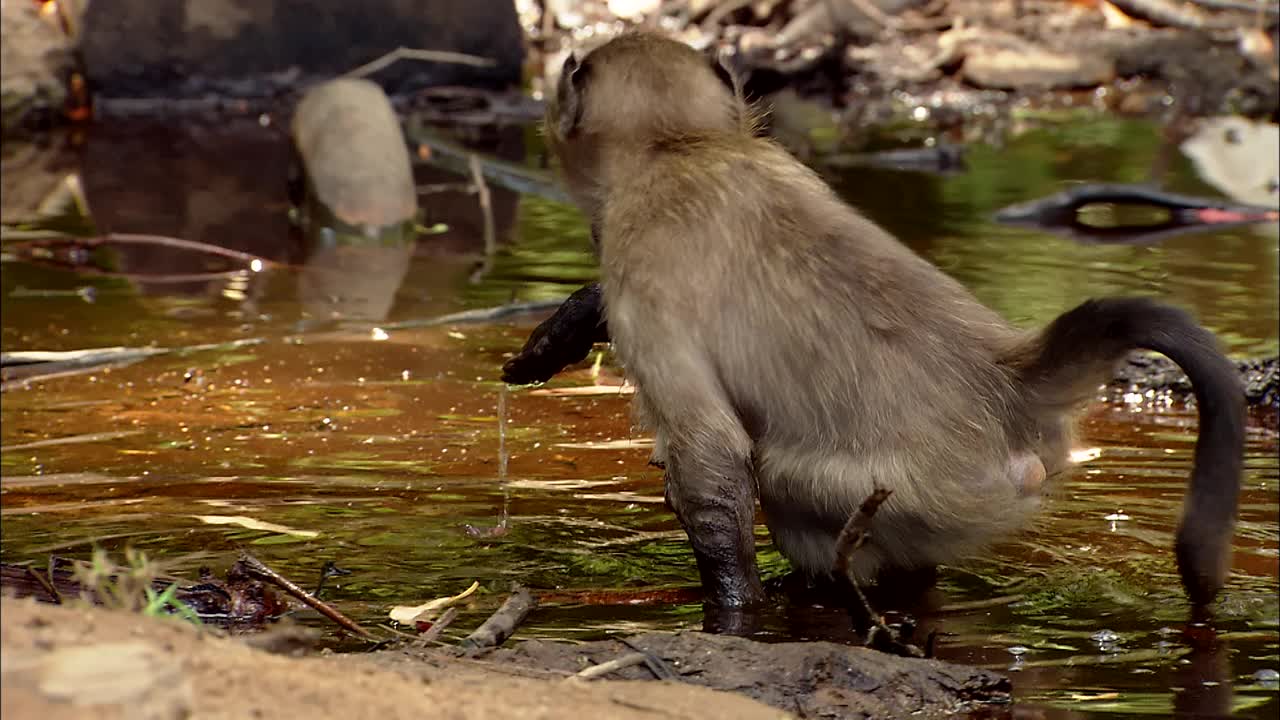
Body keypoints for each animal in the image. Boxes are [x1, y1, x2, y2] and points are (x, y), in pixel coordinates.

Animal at [504, 29, 1244, 609]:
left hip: (897, 491)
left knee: (770, 473)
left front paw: (736, 609)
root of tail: (1013, 381)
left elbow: (711, 455)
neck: (680, 145)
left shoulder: (642, 261)